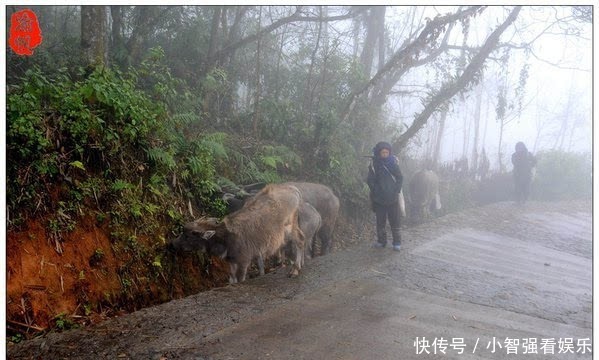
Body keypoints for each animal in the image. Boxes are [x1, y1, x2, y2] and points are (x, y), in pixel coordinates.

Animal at [171, 184, 308, 282]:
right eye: (183, 232)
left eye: (188, 236)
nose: (172, 244)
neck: (226, 237)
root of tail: (293, 190)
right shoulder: (231, 261)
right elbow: (232, 279)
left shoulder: (243, 261)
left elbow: (240, 279)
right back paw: (300, 265)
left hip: (289, 228)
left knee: (300, 240)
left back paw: (295, 270)